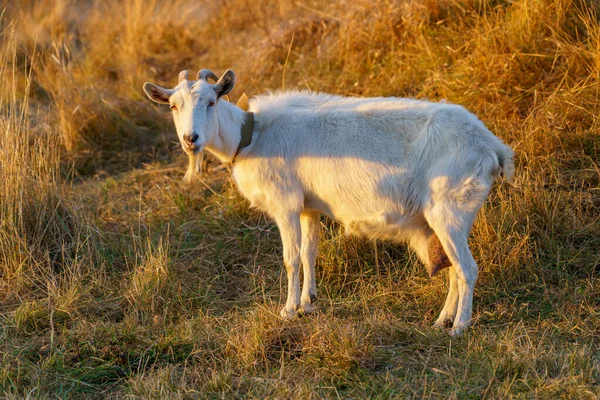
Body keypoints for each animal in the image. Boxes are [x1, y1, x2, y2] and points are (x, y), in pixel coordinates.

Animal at [143, 68, 512, 334]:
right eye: (174, 106)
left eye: (211, 102)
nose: (191, 139)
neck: (251, 136)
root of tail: (493, 147)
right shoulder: (309, 207)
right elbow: (310, 252)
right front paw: (309, 302)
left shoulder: (286, 204)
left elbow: (291, 258)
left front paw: (288, 310)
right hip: (443, 220)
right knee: (453, 271)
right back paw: (441, 321)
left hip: (450, 210)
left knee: (467, 269)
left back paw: (460, 327)